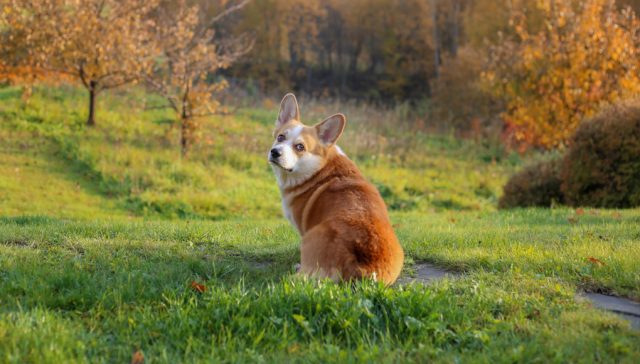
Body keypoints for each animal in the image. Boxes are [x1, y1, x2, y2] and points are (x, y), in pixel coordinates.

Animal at [268, 93, 402, 284]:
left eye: (300, 147)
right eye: (280, 137)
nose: (275, 152)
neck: (318, 168)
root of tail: (362, 268)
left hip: (309, 240)